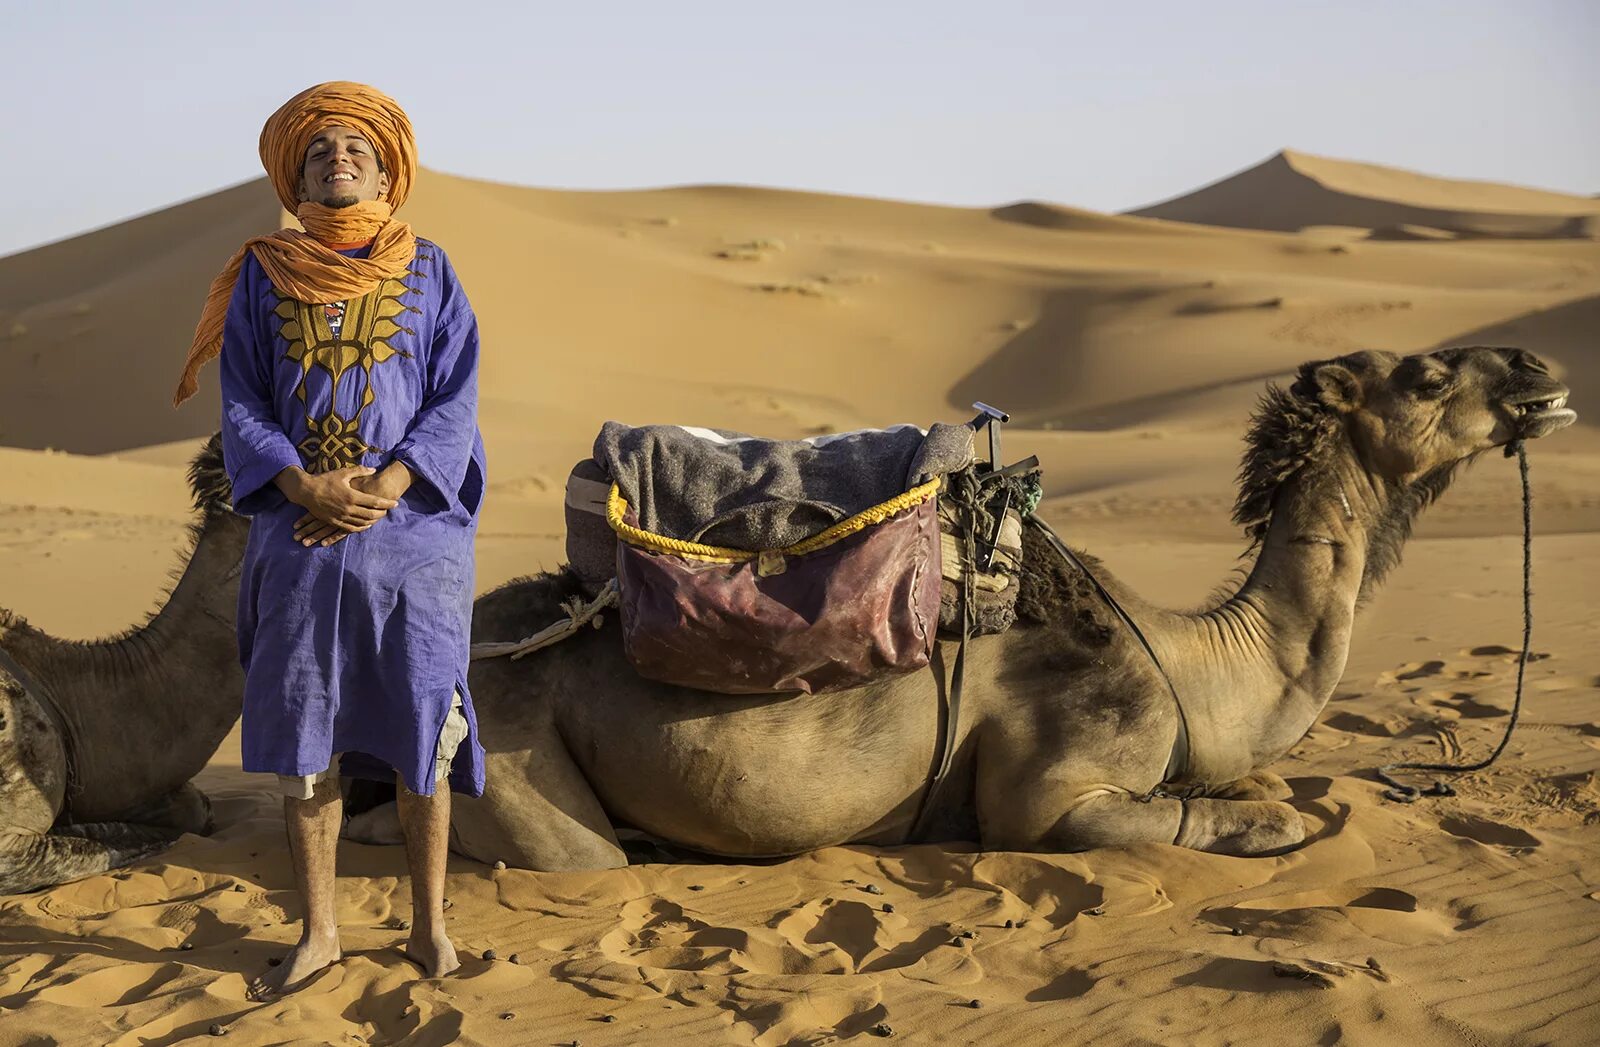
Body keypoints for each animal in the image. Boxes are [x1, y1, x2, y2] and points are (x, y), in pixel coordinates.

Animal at [344, 344, 1568, 870]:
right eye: (1426, 376)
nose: (1537, 368)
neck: (1190, 655)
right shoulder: (1052, 792)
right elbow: (1247, 818)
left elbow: (1259, 788)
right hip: (515, 758)